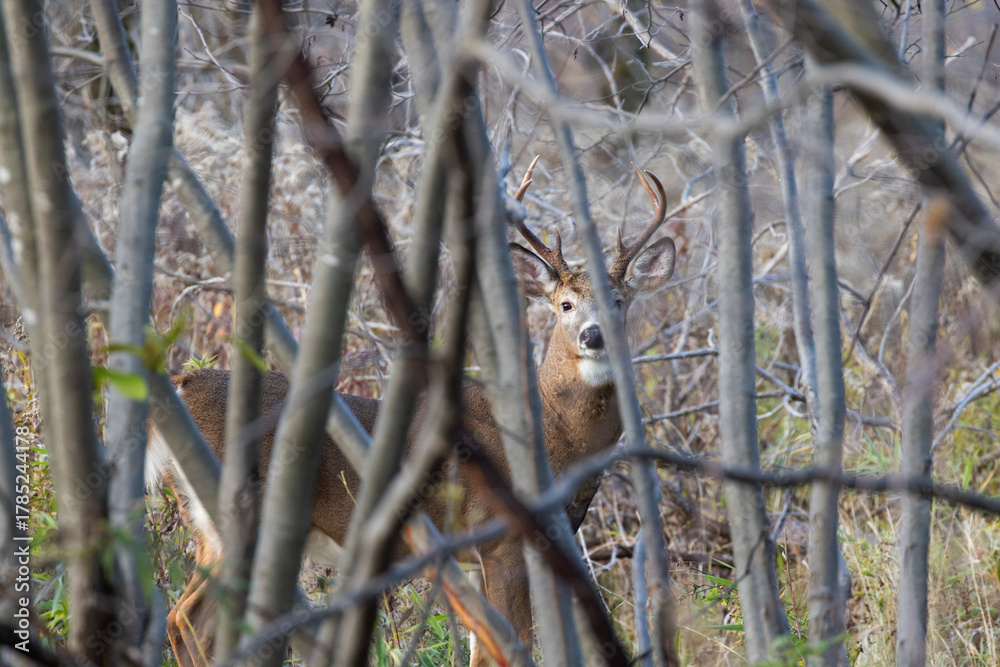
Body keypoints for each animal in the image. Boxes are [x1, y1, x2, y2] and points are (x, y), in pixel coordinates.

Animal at [146, 161, 676, 667]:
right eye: (565, 304)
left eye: (618, 301)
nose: (593, 335)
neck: (553, 435)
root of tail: (185, 383)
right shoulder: (499, 538)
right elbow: (511, 645)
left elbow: (481, 648)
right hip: (235, 511)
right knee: (190, 617)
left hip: (204, 522)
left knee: (179, 618)